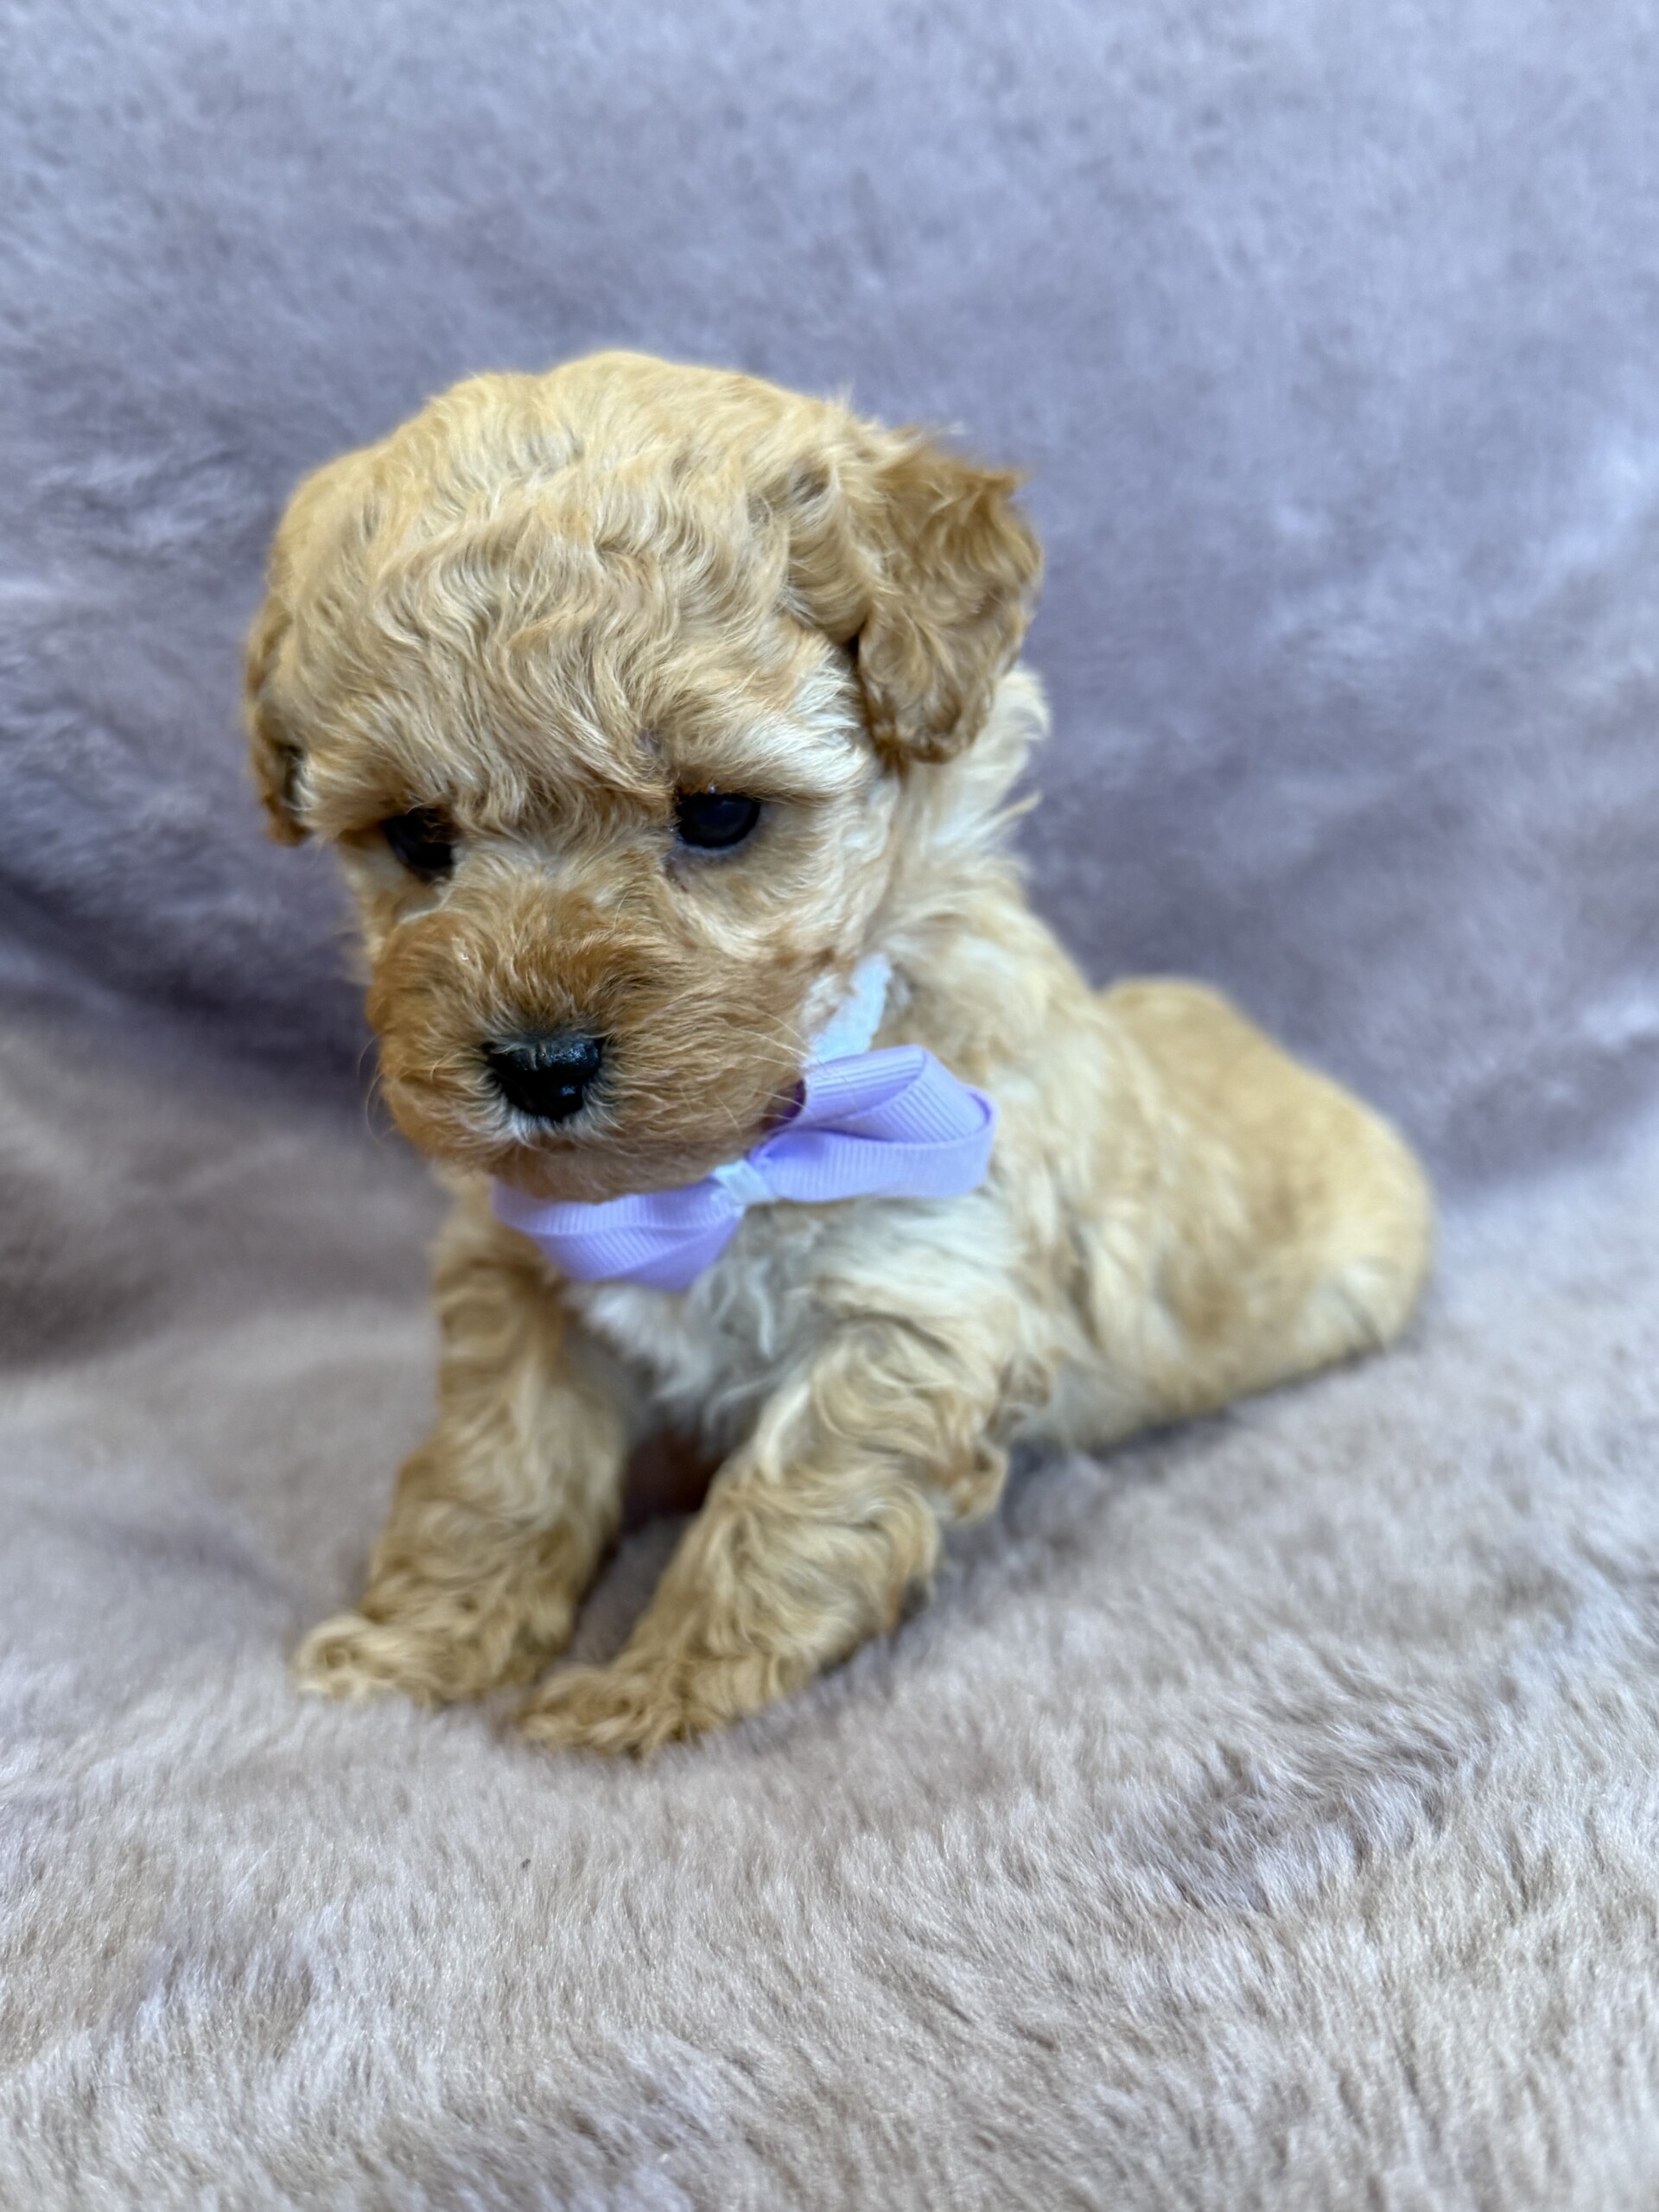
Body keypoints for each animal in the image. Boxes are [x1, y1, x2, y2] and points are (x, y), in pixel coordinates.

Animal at [245, 351, 1433, 1755]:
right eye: (418, 836)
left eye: (718, 815)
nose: (538, 1067)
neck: (731, 1164)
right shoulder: (521, 1264)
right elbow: (497, 1464)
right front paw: (422, 1641)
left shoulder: (923, 1301)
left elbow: (785, 1512)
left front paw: (652, 1693)